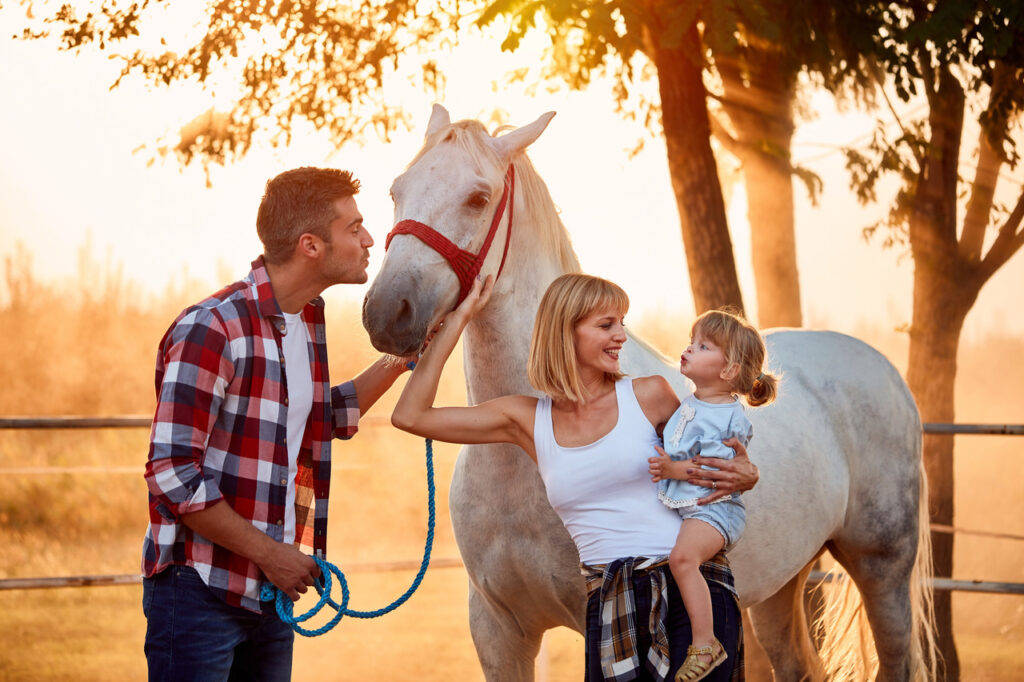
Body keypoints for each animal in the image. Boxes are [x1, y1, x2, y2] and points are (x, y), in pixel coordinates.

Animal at [362, 104, 936, 682]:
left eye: (478, 198)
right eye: (396, 191)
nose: (387, 313)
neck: (515, 463)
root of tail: (885, 372)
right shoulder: (498, 632)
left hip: (882, 568)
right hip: (783, 582)